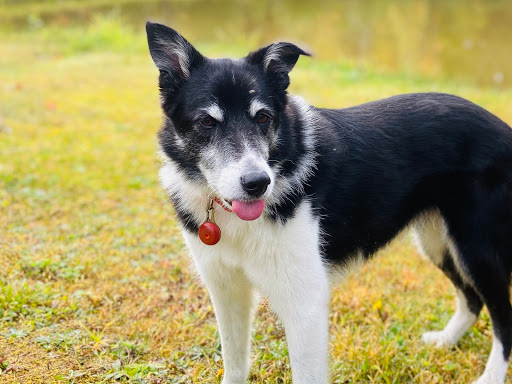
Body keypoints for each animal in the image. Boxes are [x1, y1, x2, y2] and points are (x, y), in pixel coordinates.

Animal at [144, 22, 512, 382]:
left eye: (262, 118)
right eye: (207, 121)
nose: (258, 184)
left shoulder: (304, 301)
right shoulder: (226, 289)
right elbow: (234, 363)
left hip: (476, 249)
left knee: (501, 313)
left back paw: (490, 376)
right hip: (438, 241)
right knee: (472, 299)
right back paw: (447, 340)